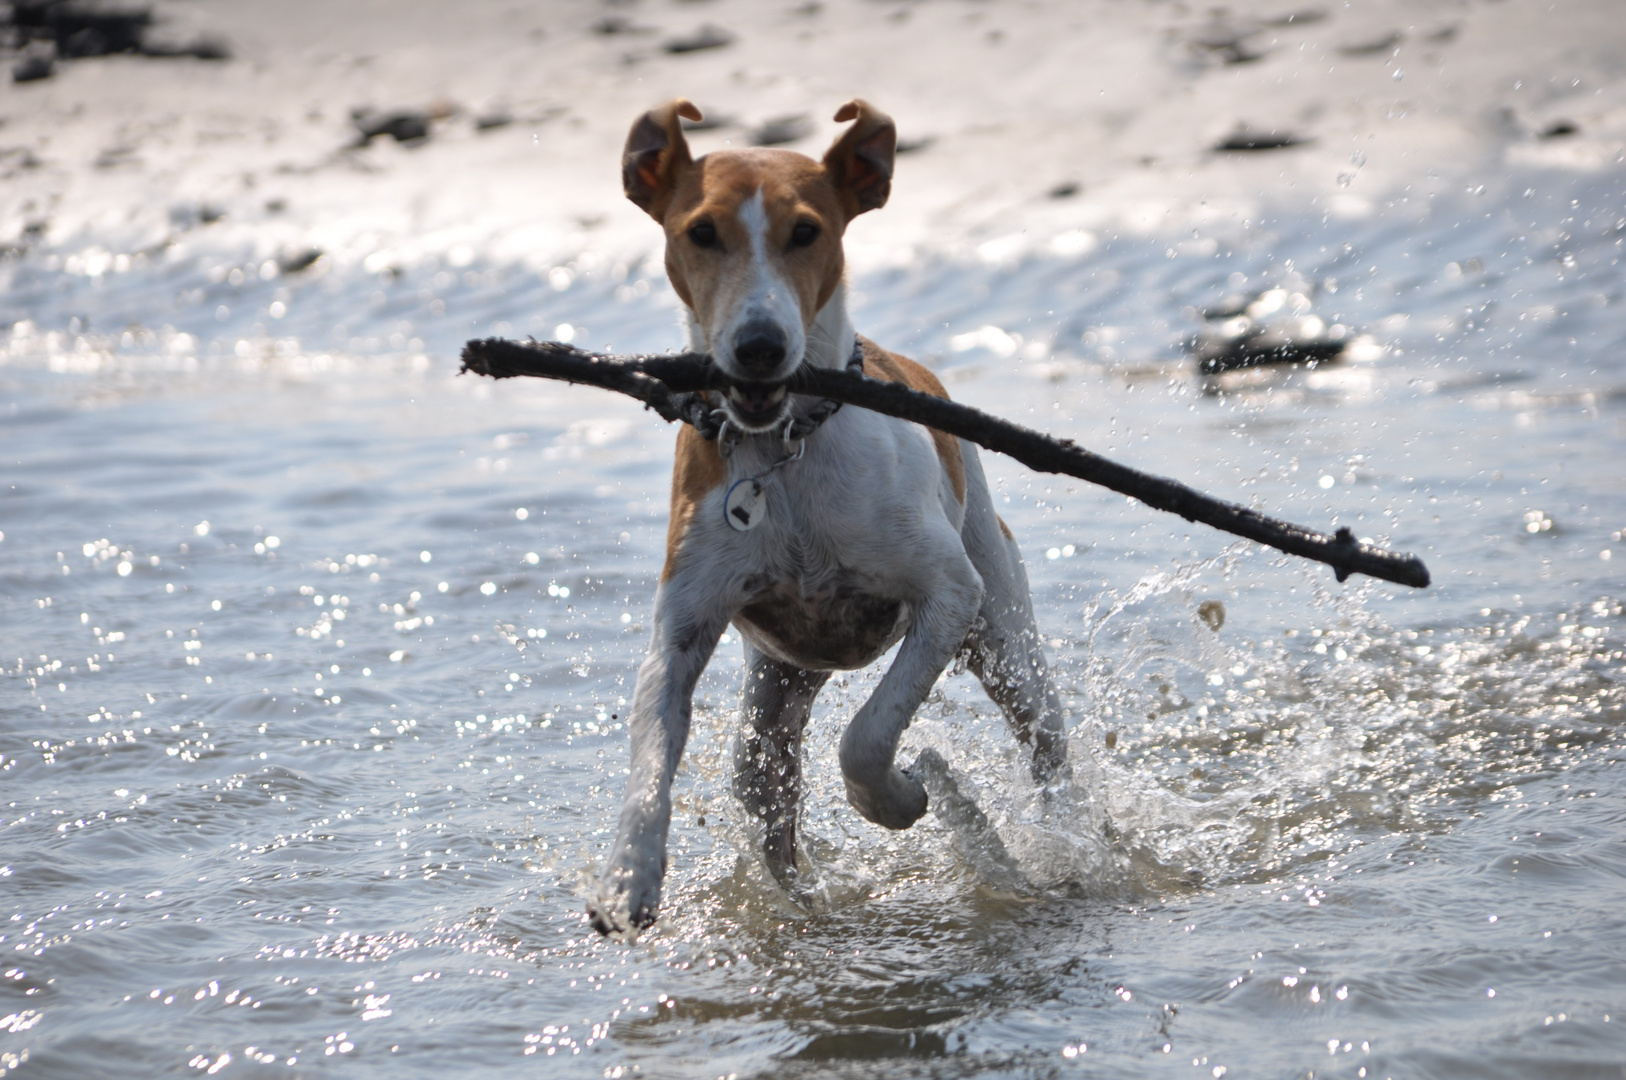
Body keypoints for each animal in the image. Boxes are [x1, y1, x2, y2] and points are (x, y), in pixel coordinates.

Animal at [591, 97, 1073, 930]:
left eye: (807, 232)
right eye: (701, 232)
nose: (759, 346)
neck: (784, 449)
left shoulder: (948, 594)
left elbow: (868, 737)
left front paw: (901, 797)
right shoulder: (683, 620)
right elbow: (652, 743)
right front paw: (629, 873)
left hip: (1002, 633)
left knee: (1047, 742)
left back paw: (1069, 845)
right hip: (780, 688)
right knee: (760, 788)